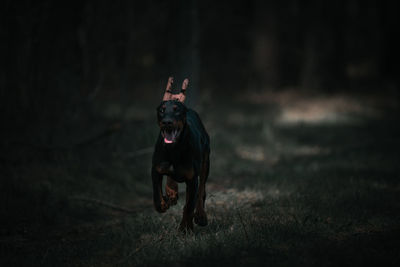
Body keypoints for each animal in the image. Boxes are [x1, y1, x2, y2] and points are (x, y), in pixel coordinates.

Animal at [152, 77, 211, 232]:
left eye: (177, 110)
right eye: (161, 110)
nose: (167, 122)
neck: (174, 149)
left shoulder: (192, 179)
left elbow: (189, 206)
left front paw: (185, 228)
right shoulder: (156, 169)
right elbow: (156, 194)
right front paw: (163, 204)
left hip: (205, 162)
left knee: (201, 190)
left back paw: (201, 215)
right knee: (171, 176)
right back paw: (171, 191)